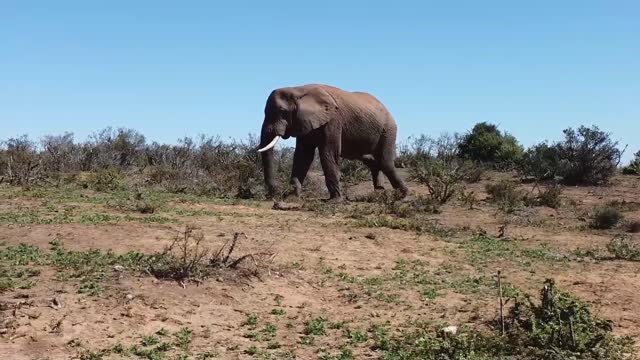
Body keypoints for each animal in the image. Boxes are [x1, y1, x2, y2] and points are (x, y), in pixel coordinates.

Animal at [256, 84, 410, 202]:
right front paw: (292, 197)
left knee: (385, 162)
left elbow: (328, 153)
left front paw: (335, 201)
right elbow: (303, 156)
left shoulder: (333, 120)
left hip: (387, 130)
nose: (273, 196)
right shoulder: (305, 122)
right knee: (371, 160)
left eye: (282, 111)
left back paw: (405, 197)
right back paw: (379, 195)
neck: (298, 89)